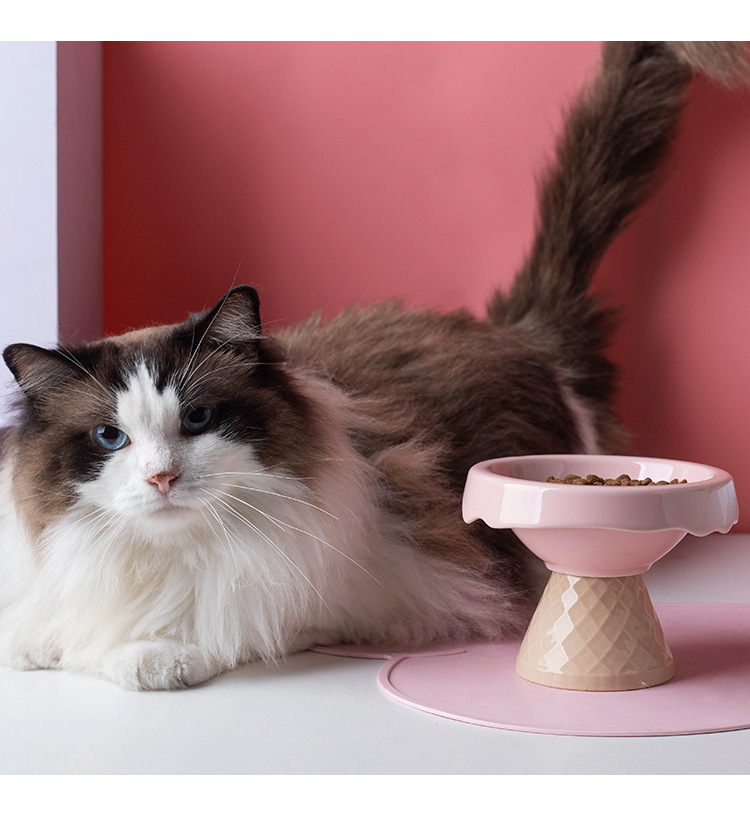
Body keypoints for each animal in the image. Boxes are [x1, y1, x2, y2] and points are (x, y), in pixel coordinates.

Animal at [0, 42, 746, 690]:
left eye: (199, 418)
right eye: (110, 438)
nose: (160, 477)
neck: (164, 556)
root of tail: (516, 330)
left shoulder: (390, 590)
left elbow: (236, 621)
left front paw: (147, 652)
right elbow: (49, 625)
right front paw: (41, 642)